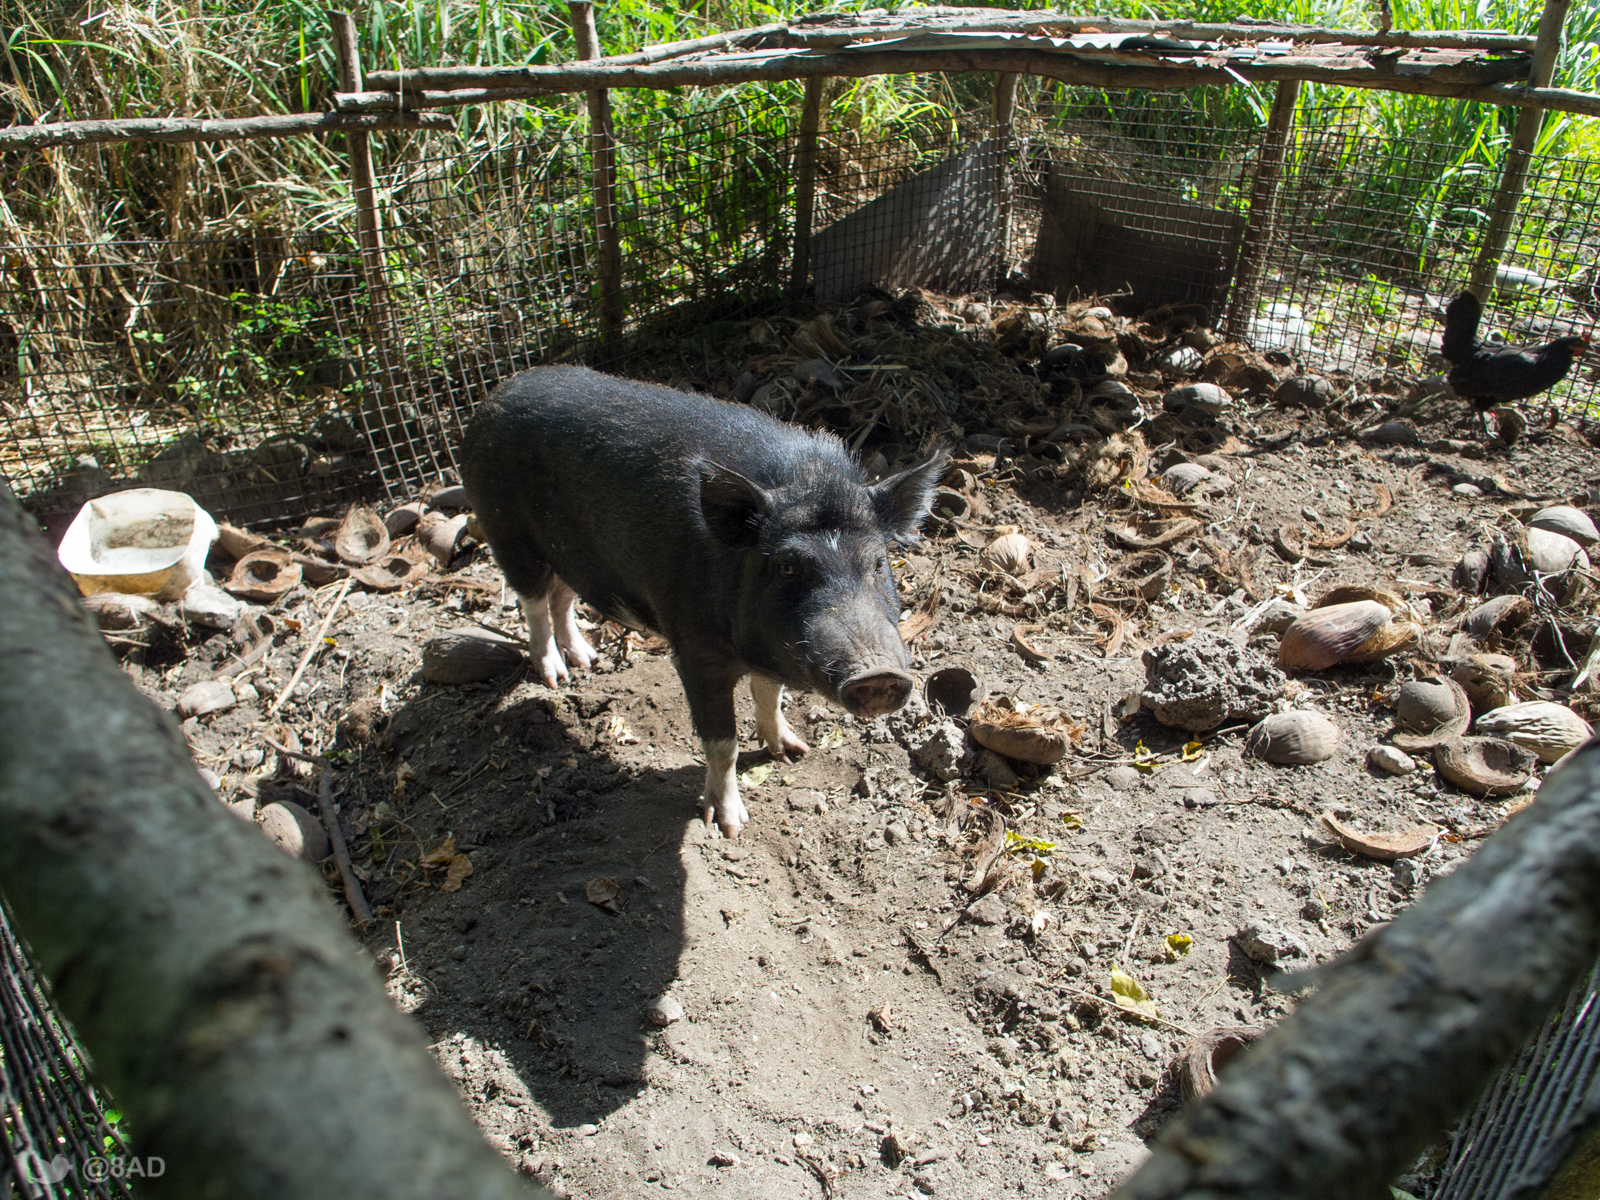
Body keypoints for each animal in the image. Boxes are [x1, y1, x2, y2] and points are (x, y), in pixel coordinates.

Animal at [457, 366, 940, 838]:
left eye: (878, 562)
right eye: (787, 566)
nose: (878, 674)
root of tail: (496, 395)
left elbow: (770, 696)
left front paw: (793, 751)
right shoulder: (693, 651)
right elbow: (723, 743)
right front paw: (729, 827)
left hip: (570, 553)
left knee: (563, 596)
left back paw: (587, 661)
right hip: (505, 530)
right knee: (533, 602)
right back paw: (556, 677)